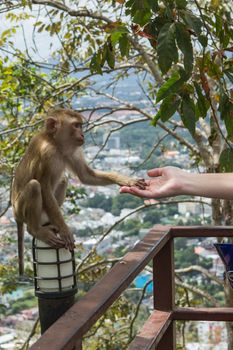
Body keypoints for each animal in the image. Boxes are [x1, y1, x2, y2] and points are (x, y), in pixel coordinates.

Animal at [11, 108, 146, 274]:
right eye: (76, 125)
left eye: (80, 125)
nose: (82, 135)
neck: (55, 143)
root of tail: (15, 214)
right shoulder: (47, 153)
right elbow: (44, 187)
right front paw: (65, 230)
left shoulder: (72, 151)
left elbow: (85, 175)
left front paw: (126, 180)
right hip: (20, 209)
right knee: (34, 186)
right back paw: (36, 229)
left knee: (63, 179)